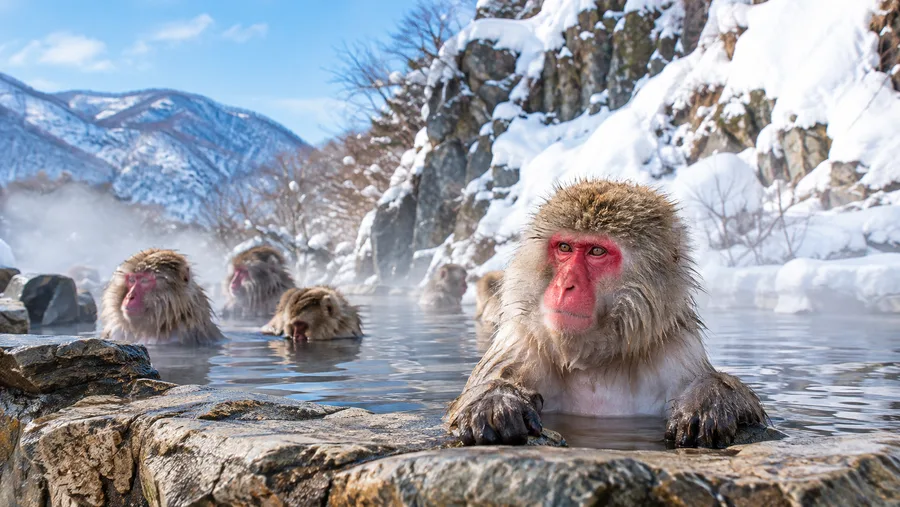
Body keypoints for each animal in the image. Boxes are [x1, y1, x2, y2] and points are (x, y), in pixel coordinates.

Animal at [446, 180, 767, 449]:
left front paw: (708, 400)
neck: (593, 362)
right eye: (564, 247)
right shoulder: (521, 343)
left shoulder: (678, 350)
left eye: (597, 252)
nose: (564, 284)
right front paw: (495, 401)